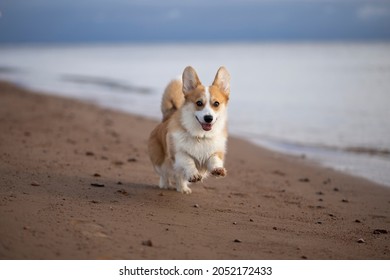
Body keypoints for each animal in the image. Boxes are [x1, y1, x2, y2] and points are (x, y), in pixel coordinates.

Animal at [148, 66, 230, 194]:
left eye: (216, 103)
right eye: (199, 103)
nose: (208, 118)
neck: (201, 136)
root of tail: (167, 117)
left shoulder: (215, 152)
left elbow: (214, 159)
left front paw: (218, 169)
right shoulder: (178, 154)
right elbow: (188, 160)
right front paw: (194, 174)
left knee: (179, 176)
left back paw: (183, 188)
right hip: (160, 162)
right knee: (165, 174)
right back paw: (166, 185)